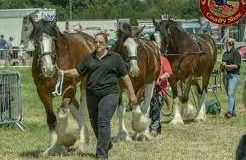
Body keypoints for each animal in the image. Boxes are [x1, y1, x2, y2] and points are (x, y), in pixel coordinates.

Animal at [28, 18, 94, 155]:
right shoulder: (43, 93)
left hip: (84, 85)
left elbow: (63, 112)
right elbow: (51, 119)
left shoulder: (69, 87)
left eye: (53, 39)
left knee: (81, 110)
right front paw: (53, 148)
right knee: (75, 108)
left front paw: (67, 140)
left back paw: (82, 142)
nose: (48, 69)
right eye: (36, 41)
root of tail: (89, 39)